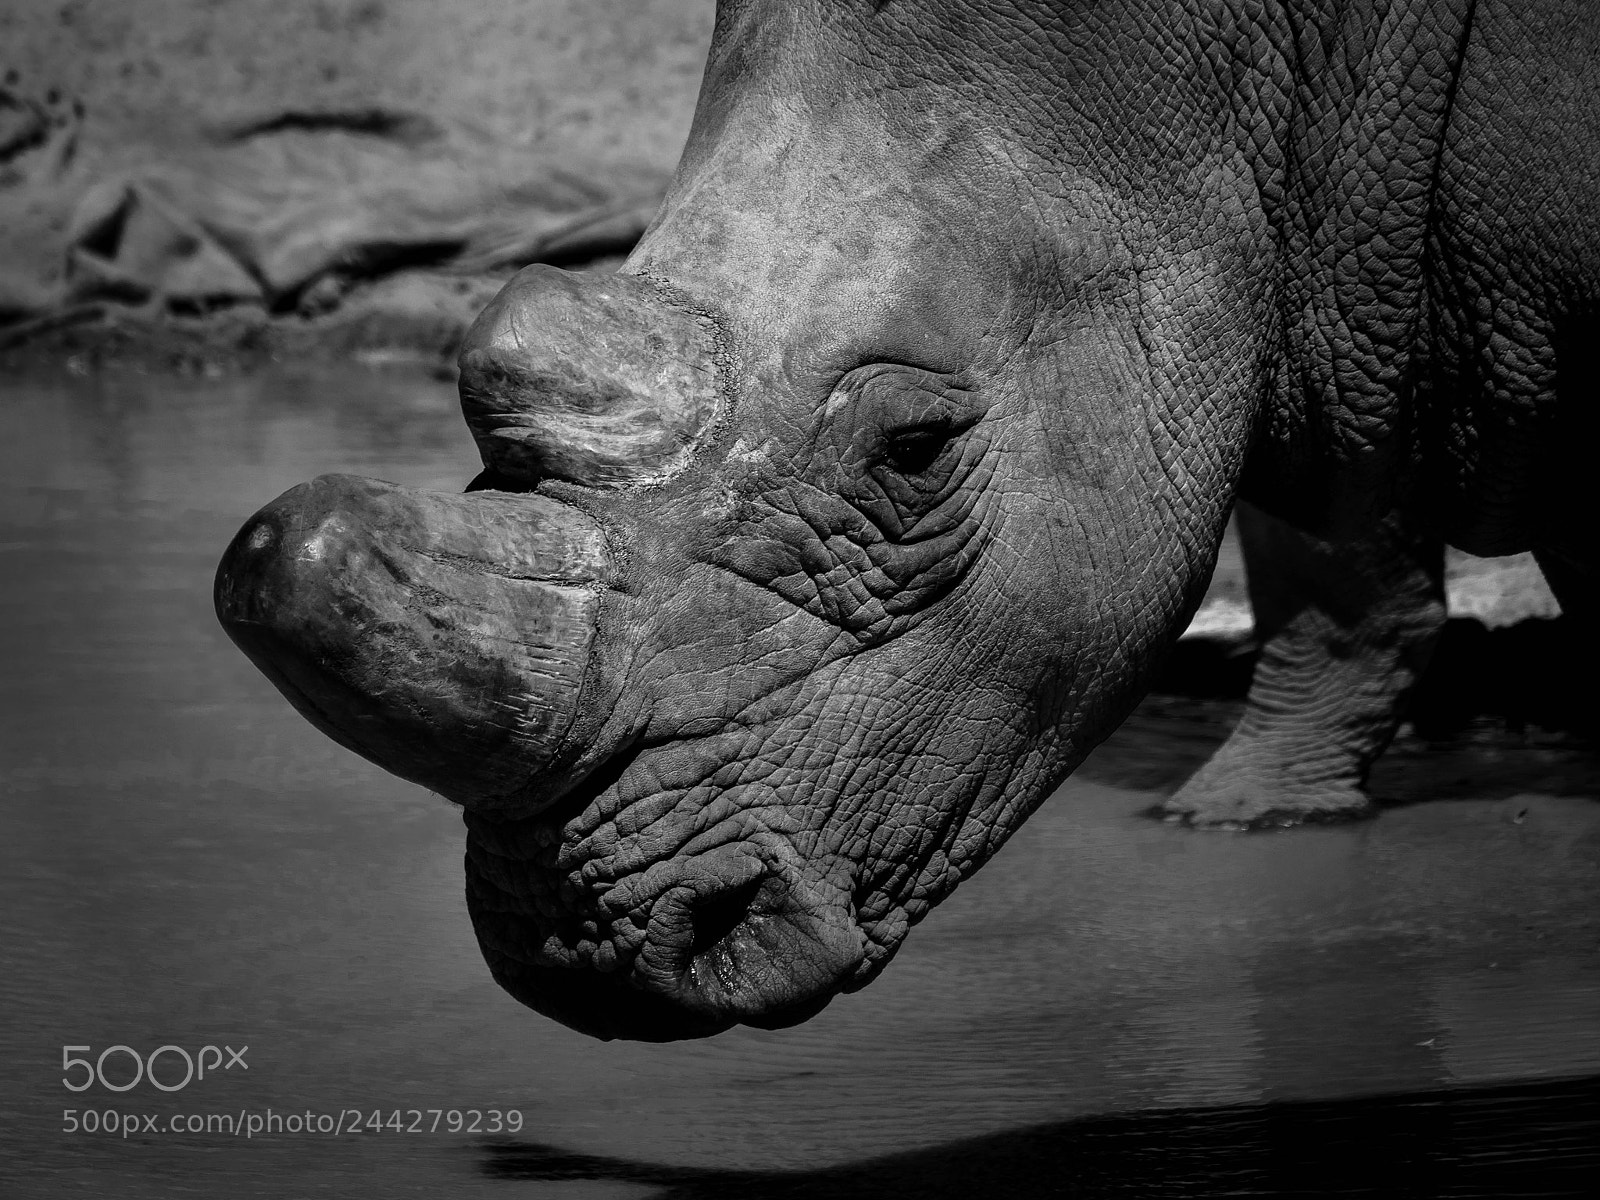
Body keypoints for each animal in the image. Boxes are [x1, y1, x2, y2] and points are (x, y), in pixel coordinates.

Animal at [214, 0, 1597, 1040]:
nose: (579, 948)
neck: (1274, 59)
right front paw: (1236, 818)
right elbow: (1319, 536)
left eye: (914, 452)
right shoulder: (1299, 260)